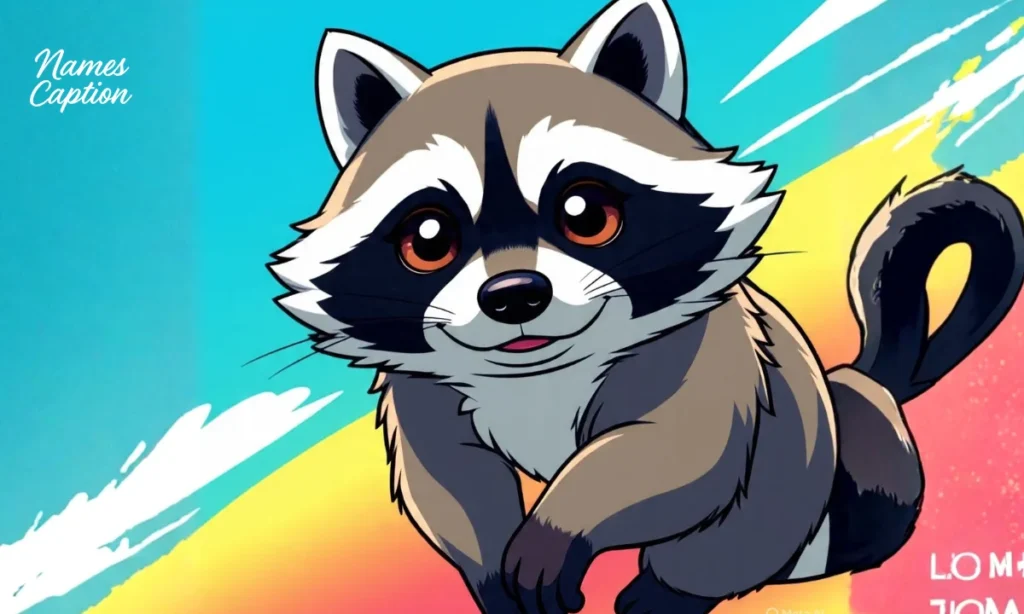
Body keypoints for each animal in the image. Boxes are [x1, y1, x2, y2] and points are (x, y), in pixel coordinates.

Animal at [267, 0, 1024, 612]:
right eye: (429, 237)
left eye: (586, 213)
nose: (514, 297)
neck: (536, 375)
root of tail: (866, 381)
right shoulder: (427, 380)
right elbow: (451, 477)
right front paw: (493, 571)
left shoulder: (704, 347)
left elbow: (678, 451)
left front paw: (554, 533)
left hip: (843, 470)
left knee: (754, 529)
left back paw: (670, 594)